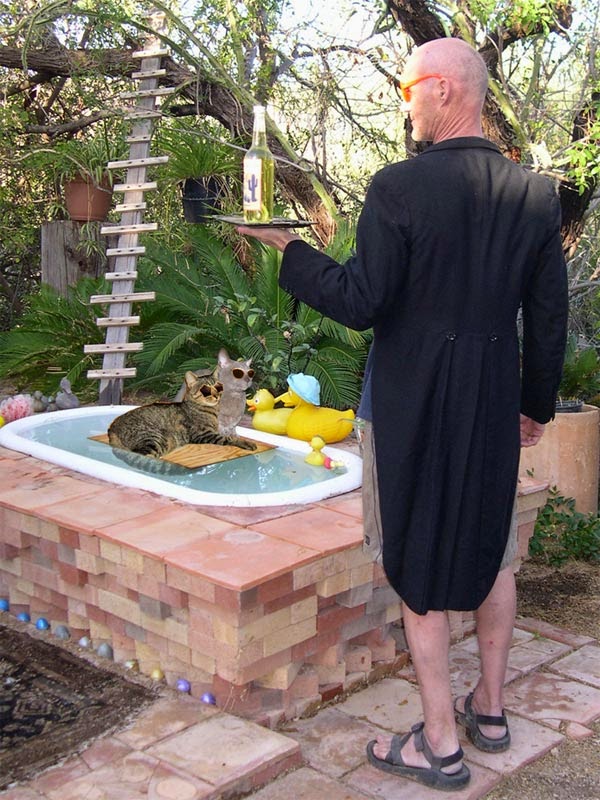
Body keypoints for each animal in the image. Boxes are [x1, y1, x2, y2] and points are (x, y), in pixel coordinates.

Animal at [108, 371, 257, 458]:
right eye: (206, 390)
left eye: (218, 386)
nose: (216, 395)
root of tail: (112, 428)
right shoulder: (204, 434)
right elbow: (229, 438)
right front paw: (246, 442)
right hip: (154, 439)